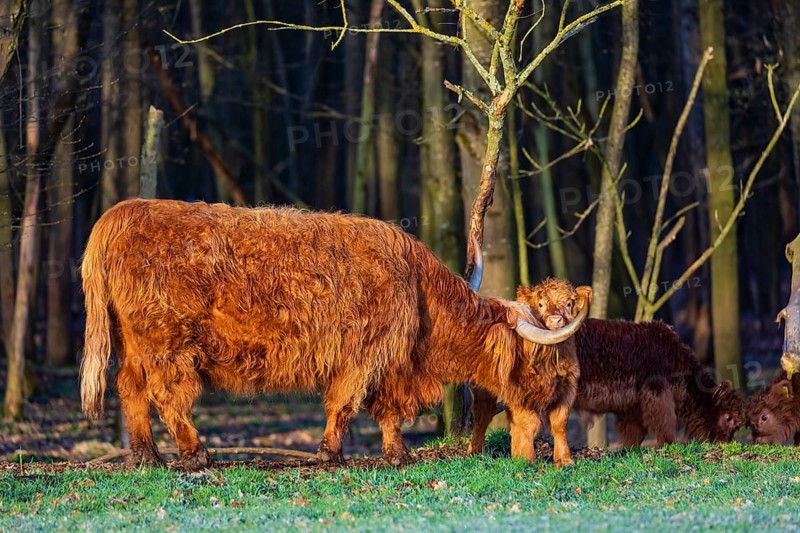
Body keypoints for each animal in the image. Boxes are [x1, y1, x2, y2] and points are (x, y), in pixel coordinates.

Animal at [80, 199, 589, 470]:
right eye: (535, 356)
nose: (552, 390)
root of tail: (121, 212)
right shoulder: (367, 353)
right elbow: (345, 403)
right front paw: (330, 454)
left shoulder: (388, 360)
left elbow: (386, 412)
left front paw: (396, 453)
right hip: (167, 342)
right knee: (167, 395)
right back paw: (196, 451)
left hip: (133, 341)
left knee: (130, 387)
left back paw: (146, 456)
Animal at [471, 278, 745, 453]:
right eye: (728, 417)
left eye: (570, 303)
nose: (726, 443)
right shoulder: (657, 394)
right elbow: (664, 427)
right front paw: (667, 446)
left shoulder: (631, 406)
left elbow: (634, 434)